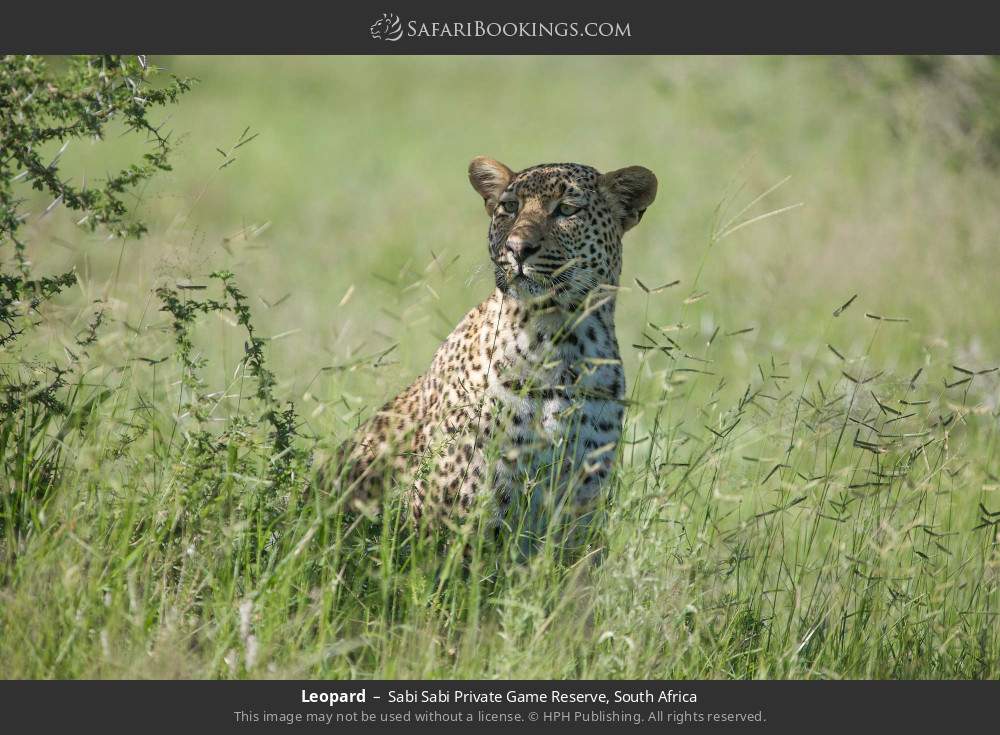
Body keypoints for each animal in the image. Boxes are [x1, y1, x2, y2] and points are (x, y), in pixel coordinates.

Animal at [323, 157, 657, 538]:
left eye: (567, 210)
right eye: (509, 208)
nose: (517, 248)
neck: (557, 340)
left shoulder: (580, 508)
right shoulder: (459, 508)